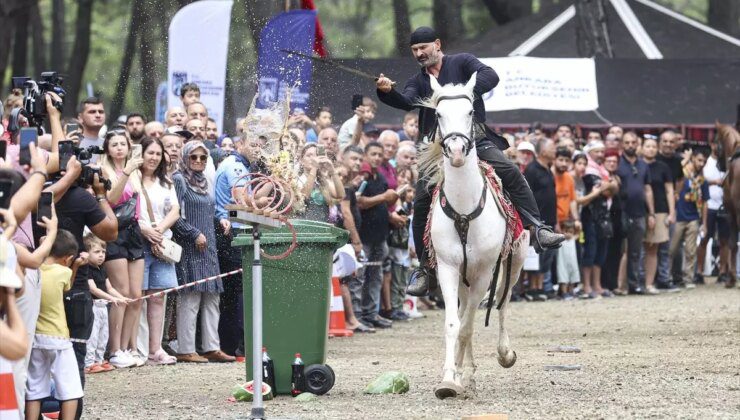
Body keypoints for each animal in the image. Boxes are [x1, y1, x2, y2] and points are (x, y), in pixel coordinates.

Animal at [420, 74, 528, 398]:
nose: (456, 153)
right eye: (438, 115)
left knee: (502, 303)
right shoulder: (448, 268)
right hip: (464, 277)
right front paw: (449, 379)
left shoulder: (483, 272)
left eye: (470, 112)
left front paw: (459, 375)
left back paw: (503, 355)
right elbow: (454, 324)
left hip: (515, 261)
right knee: (467, 310)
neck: (465, 209)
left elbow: (468, 325)